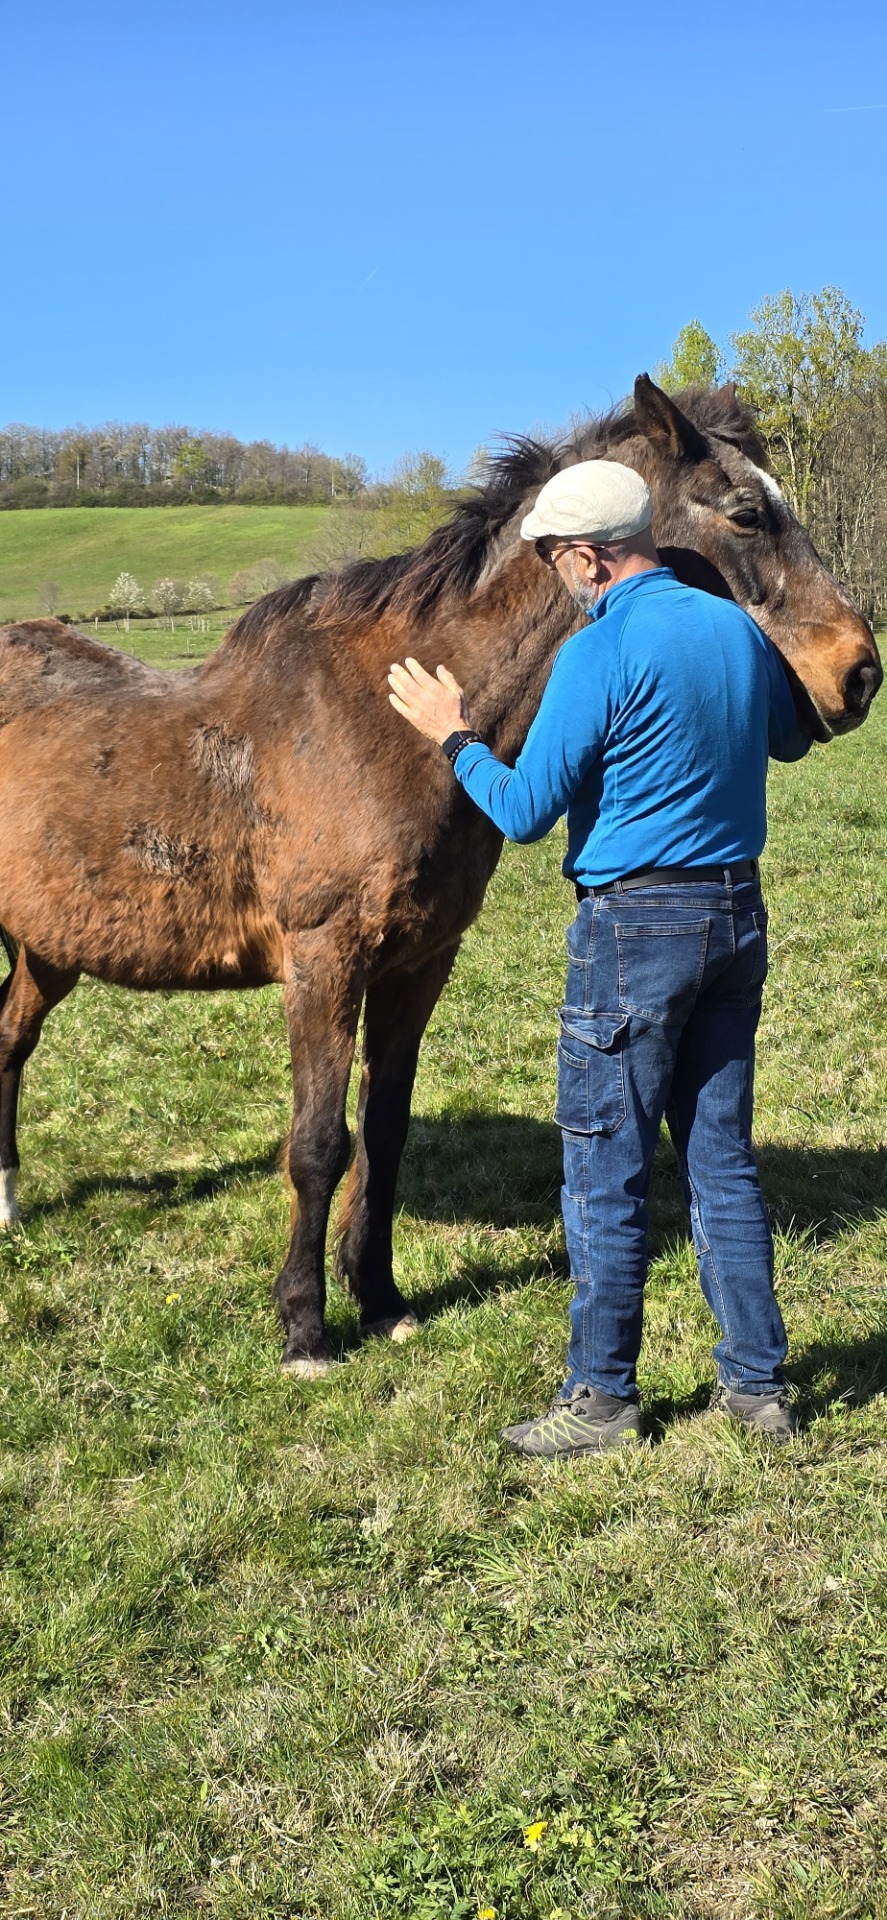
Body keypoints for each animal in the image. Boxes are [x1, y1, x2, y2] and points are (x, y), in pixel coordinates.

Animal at [0, 376, 880, 1375]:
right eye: (744, 514)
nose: (857, 674)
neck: (382, 725)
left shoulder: (418, 964)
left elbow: (382, 1134)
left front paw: (379, 1298)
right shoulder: (324, 962)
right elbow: (317, 1144)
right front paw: (305, 1327)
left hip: (49, 950)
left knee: (10, 1041)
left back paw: (12, 1204)